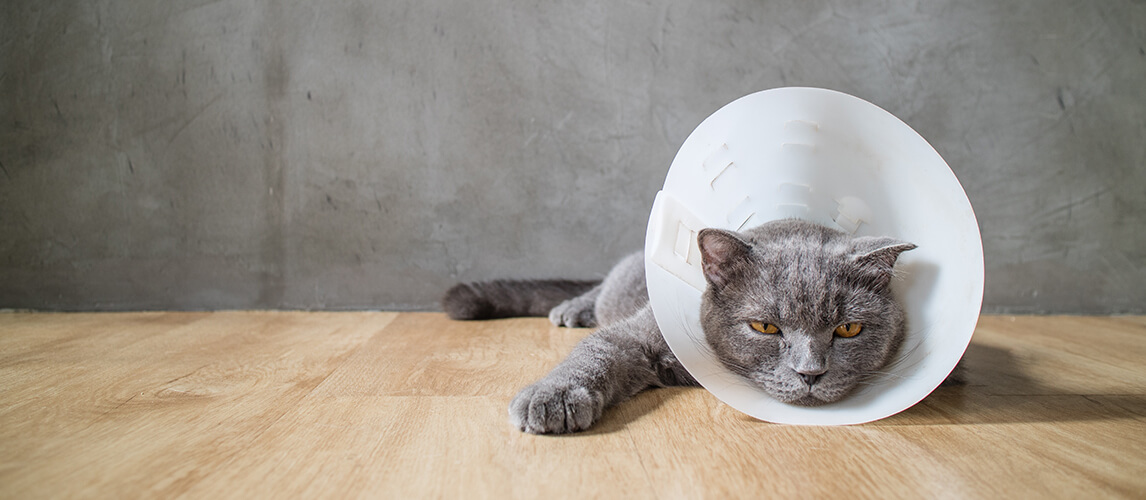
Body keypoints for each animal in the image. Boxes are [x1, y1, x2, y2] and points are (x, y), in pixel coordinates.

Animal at [442, 219, 916, 433]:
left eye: (848, 330)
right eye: (764, 327)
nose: (811, 373)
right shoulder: (636, 333)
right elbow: (594, 352)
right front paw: (552, 397)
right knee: (597, 290)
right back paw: (571, 308)